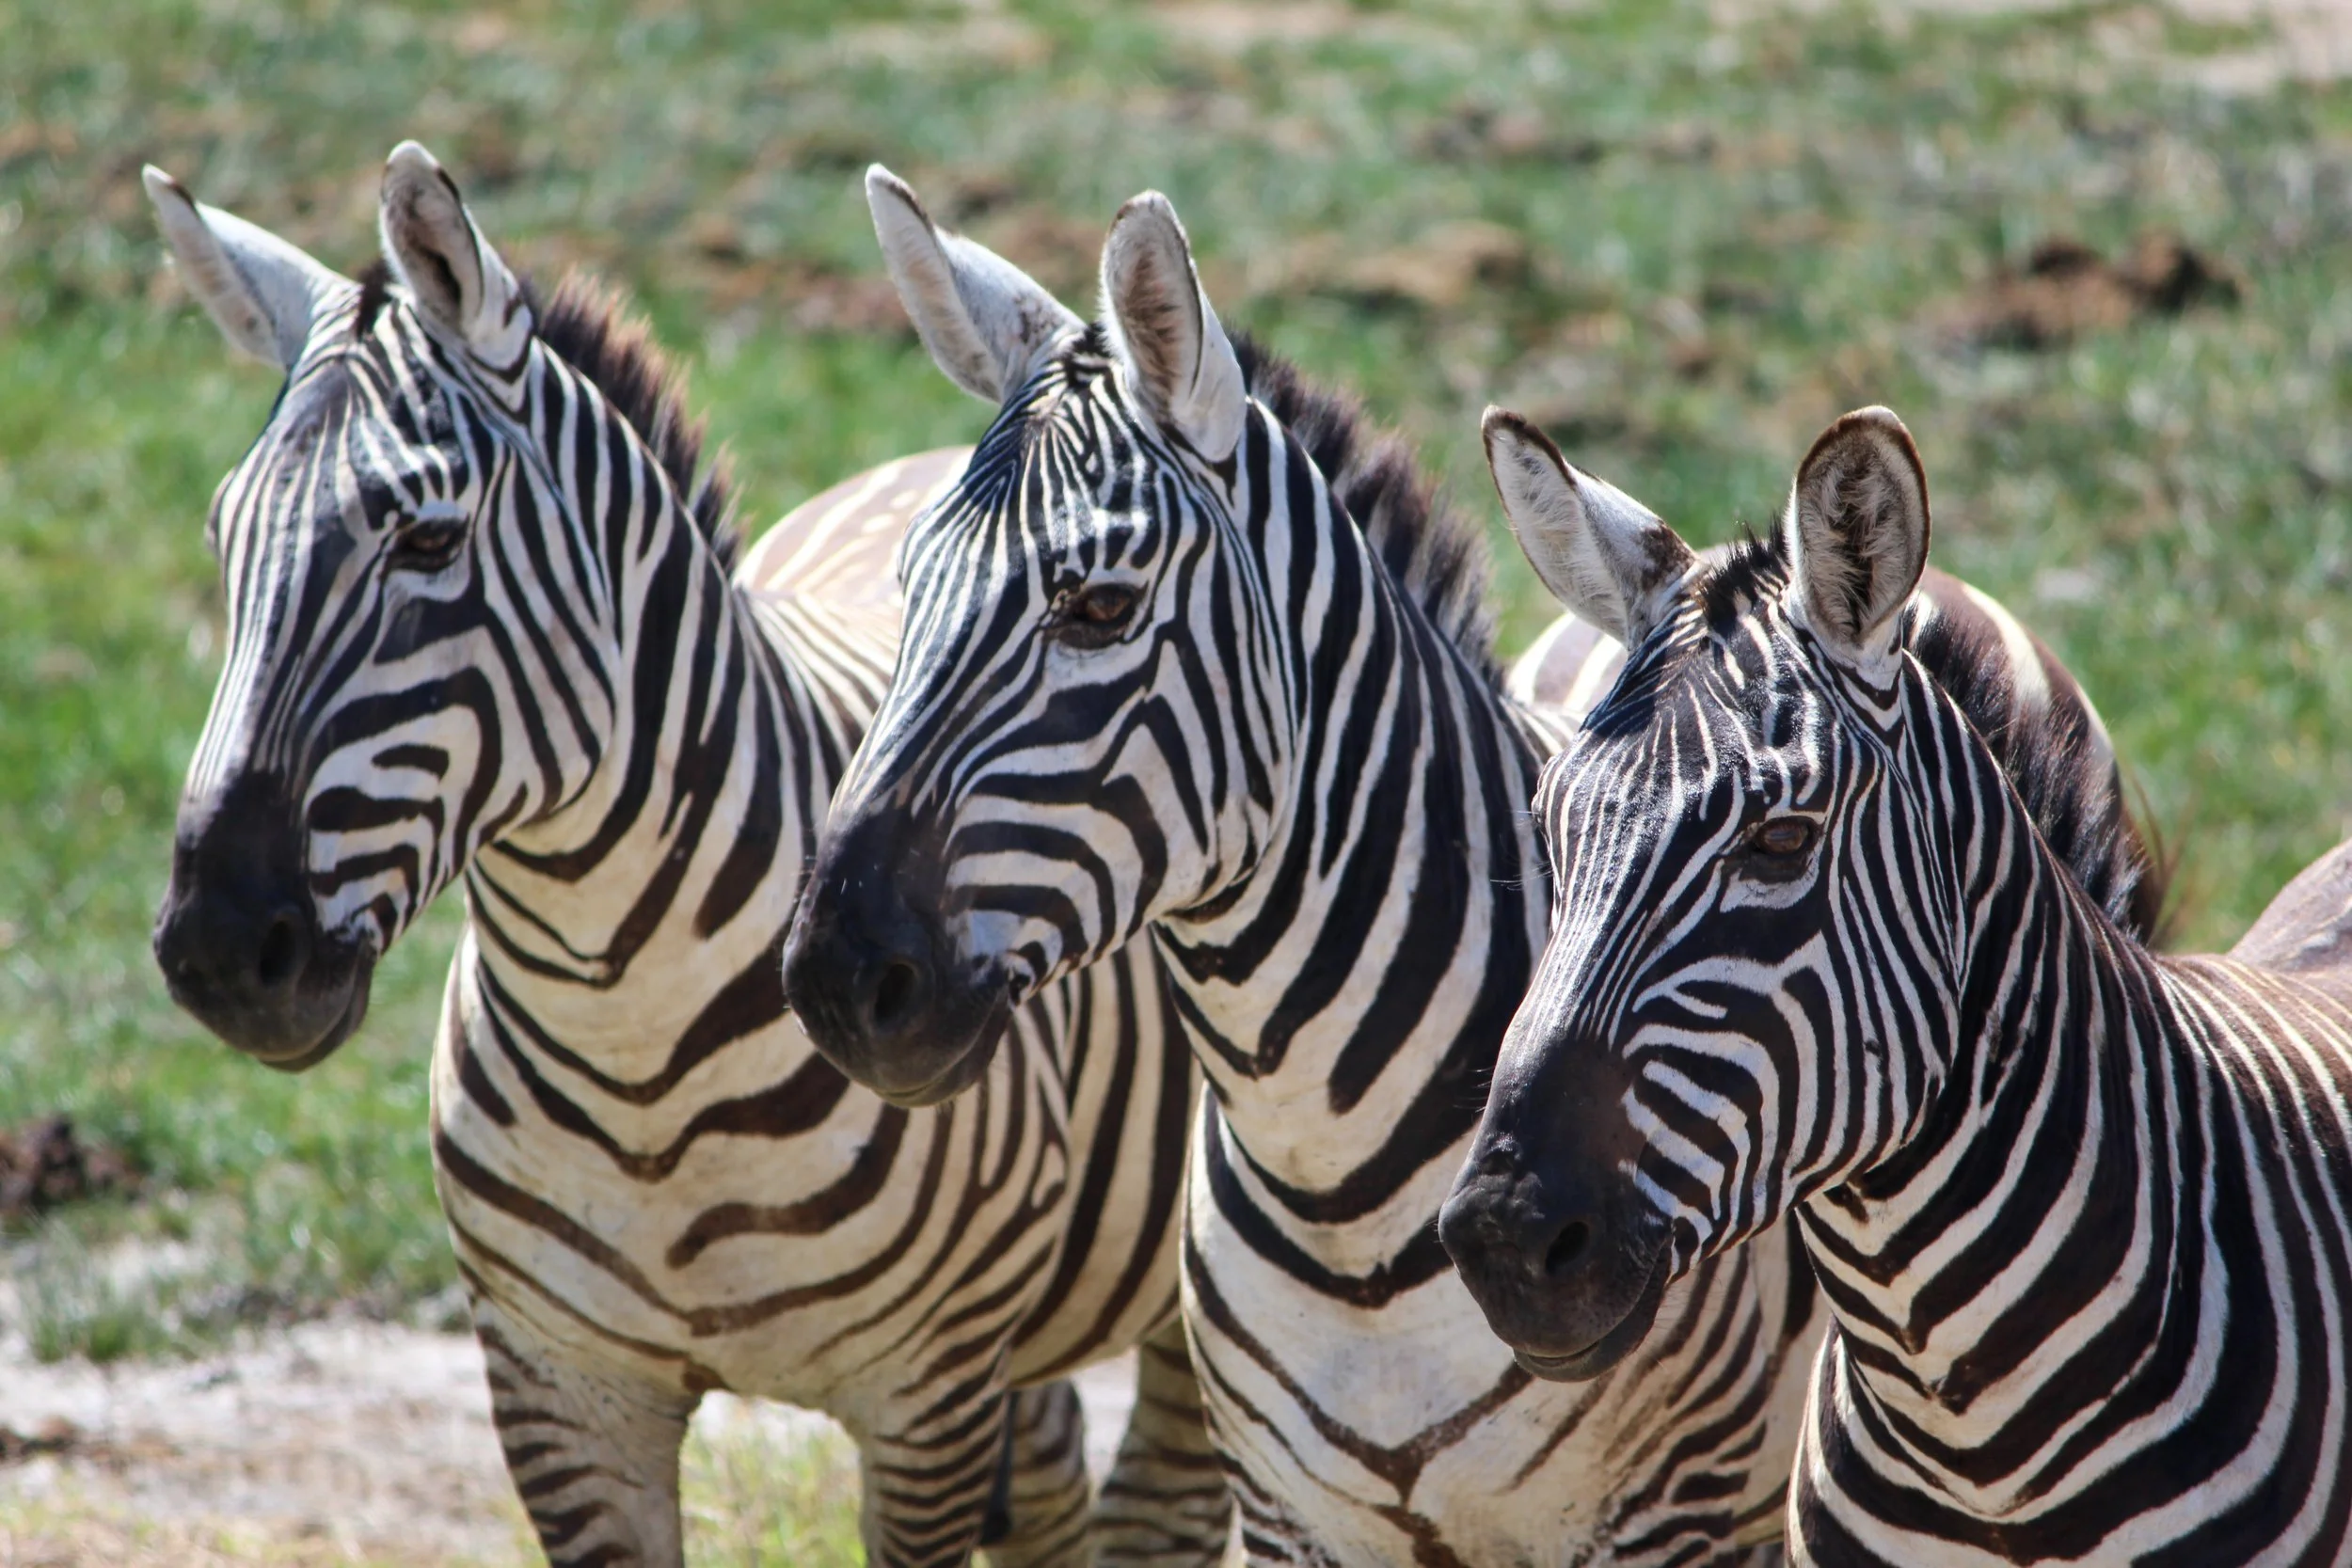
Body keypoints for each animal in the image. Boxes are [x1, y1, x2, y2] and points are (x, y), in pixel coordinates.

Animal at [141, 143, 1230, 1568]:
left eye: (427, 537)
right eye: (224, 540)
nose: (220, 948)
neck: (633, 1045)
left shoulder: (924, 1401)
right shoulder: (560, 1391)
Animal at [781, 173, 2163, 1564]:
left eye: (1100, 608)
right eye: (907, 585)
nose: (837, 974)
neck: (1331, 1182)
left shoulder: (1669, 1514)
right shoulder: (1290, 1516)